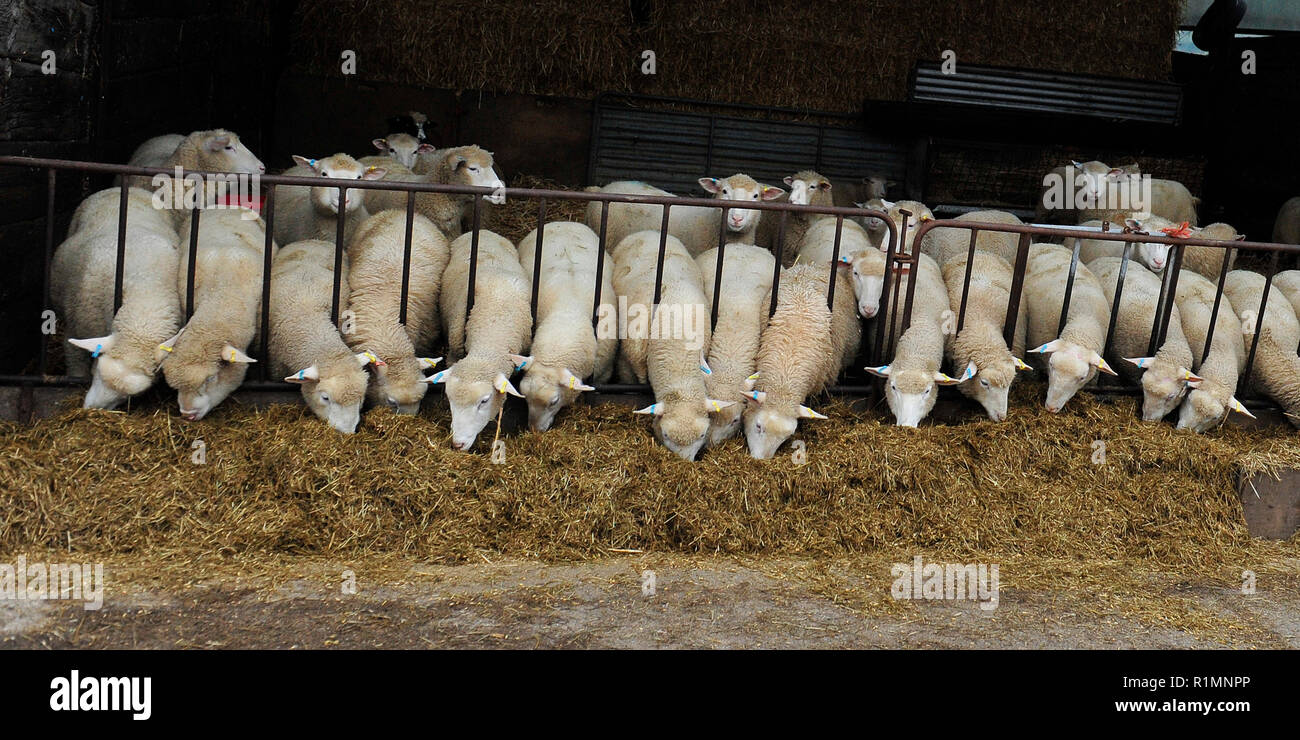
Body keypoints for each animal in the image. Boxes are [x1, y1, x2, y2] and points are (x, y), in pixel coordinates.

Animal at [52, 187, 183, 409]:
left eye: (129, 395)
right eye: (97, 370)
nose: (92, 410)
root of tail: (127, 188)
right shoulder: (75, 326)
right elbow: (75, 359)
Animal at [514, 222, 617, 432]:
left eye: (554, 402)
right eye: (524, 396)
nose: (535, 431)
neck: (569, 314)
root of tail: (563, 222)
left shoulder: (603, 373)